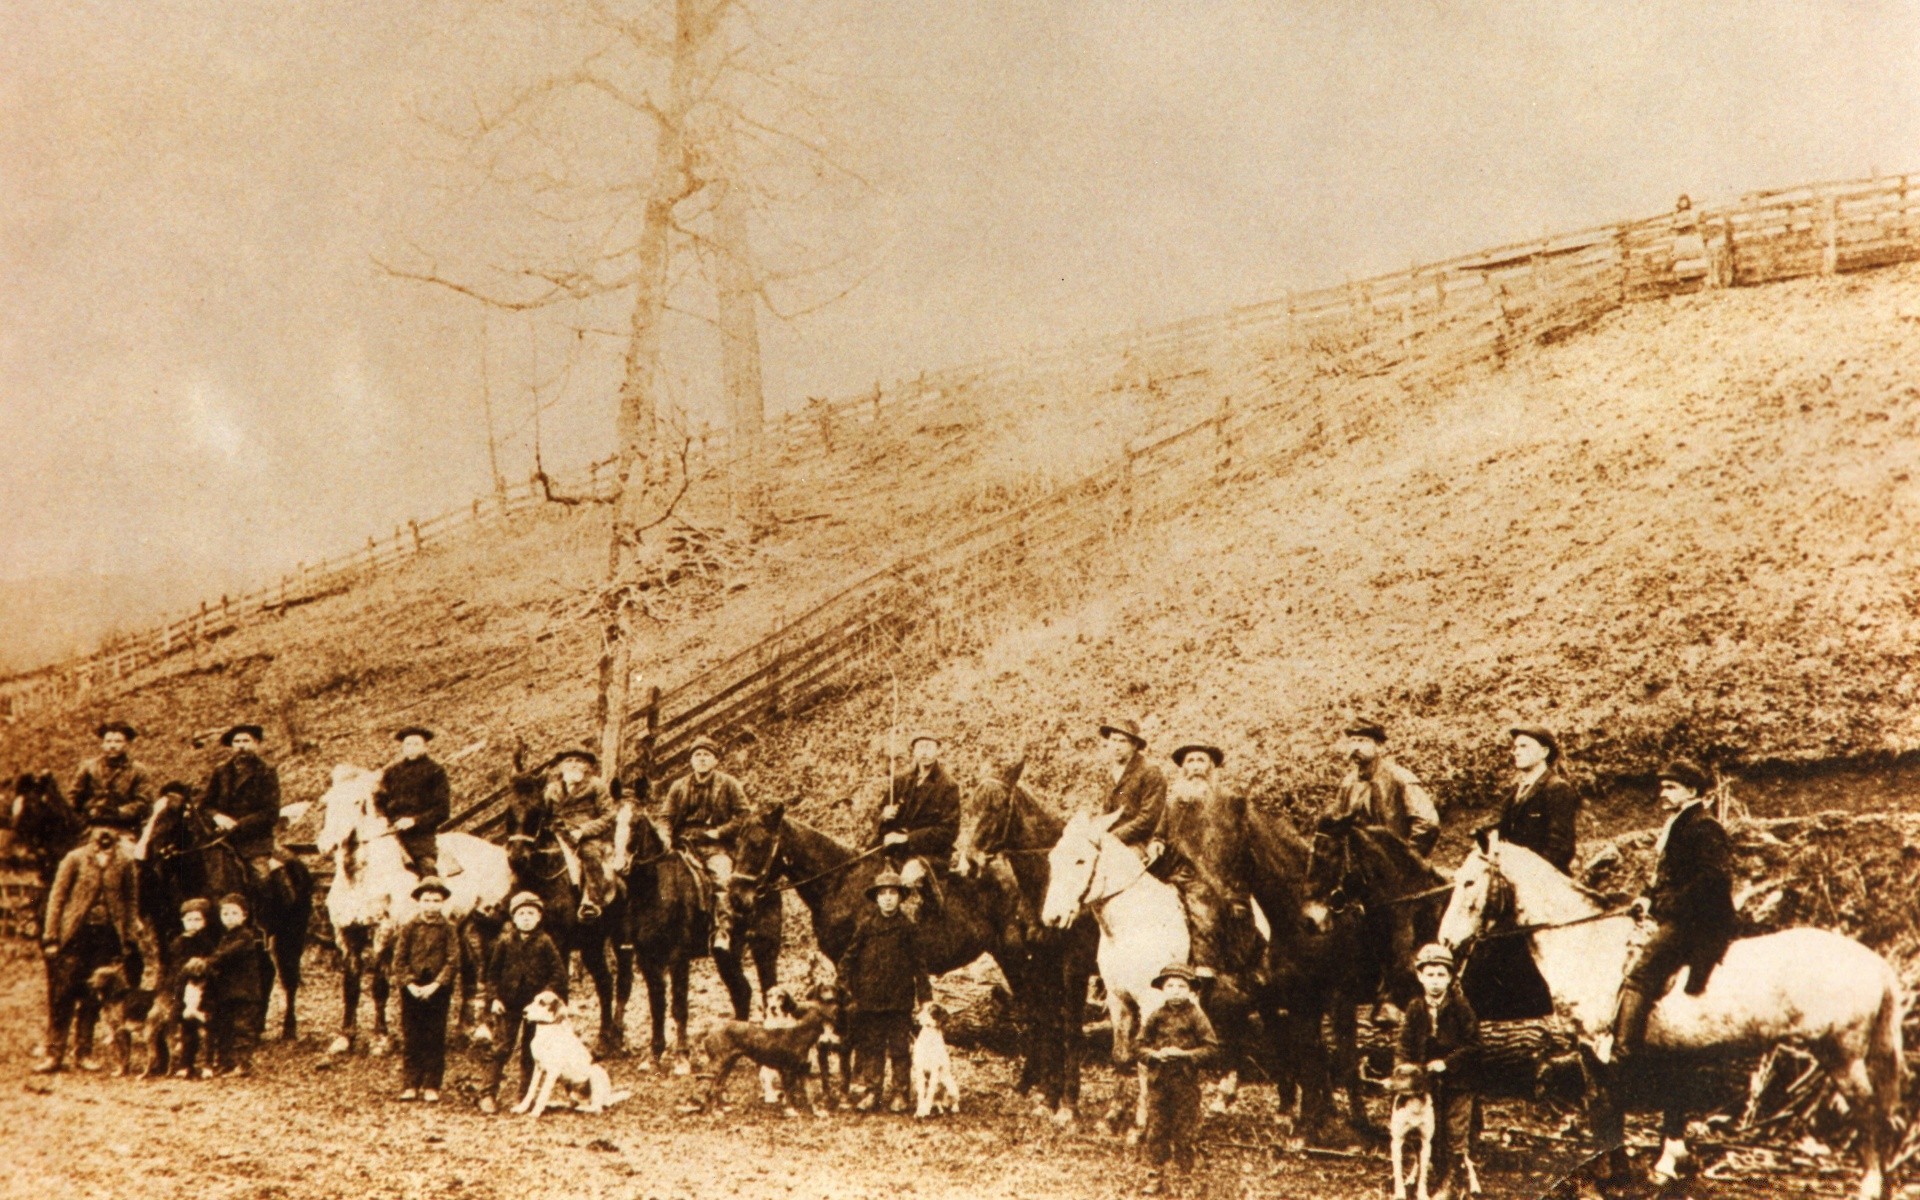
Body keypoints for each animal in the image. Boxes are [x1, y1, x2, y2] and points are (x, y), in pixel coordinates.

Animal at [322, 764, 518, 1052]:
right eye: (326, 802)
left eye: (356, 802)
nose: (325, 844)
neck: (361, 878)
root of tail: (496, 849)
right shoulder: (347, 934)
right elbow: (351, 986)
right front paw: (344, 1037)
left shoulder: (385, 933)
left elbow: (379, 985)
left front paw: (380, 1039)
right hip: (459, 925)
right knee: (469, 968)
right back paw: (463, 1028)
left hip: (488, 923)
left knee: (488, 973)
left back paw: (484, 1029)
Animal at [510, 990, 629, 1121]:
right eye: (534, 1000)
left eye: (542, 1002)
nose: (524, 1012)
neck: (547, 1032)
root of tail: (607, 1098)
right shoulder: (538, 1067)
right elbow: (531, 1090)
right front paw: (522, 1108)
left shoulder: (552, 1071)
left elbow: (543, 1093)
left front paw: (535, 1112)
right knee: (574, 1104)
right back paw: (557, 1104)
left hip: (596, 1072)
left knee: (597, 1108)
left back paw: (583, 1109)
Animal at [695, 983, 837, 1113]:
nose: (835, 1005)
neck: (802, 1034)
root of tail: (708, 1032)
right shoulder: (787, 1071)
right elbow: (790, 1093)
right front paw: (791, 1110)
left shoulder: (803, 1071)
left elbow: (810, 1094)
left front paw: (818, 1112)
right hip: (719, 1065)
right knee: (711, 1090)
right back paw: (713, 1112)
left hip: (728, 1065)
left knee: (718, 1087)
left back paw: (722, 1107)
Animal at [1044, 806, 1190, 1128]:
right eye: (1052, 858)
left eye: (1081, 860)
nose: (1052, 917)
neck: (1134, 924)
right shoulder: (1118, 999)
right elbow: (1122, 1055)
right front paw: (1113, 1116)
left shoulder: (1151, 1003)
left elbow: (1148, 1060)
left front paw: (1141, 1126)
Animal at [1443, 833, 1904, 1198]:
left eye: (1469, 882)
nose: (1446, 941)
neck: (1589, 943)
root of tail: (1875, 963)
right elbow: (1666, 1105)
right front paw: (1665, 1164)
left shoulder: (1597, 1047)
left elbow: (1606, 1107)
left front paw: (1613, 1175)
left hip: (1840, 1056)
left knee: (1869, 1113)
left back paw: (1869, 1186)